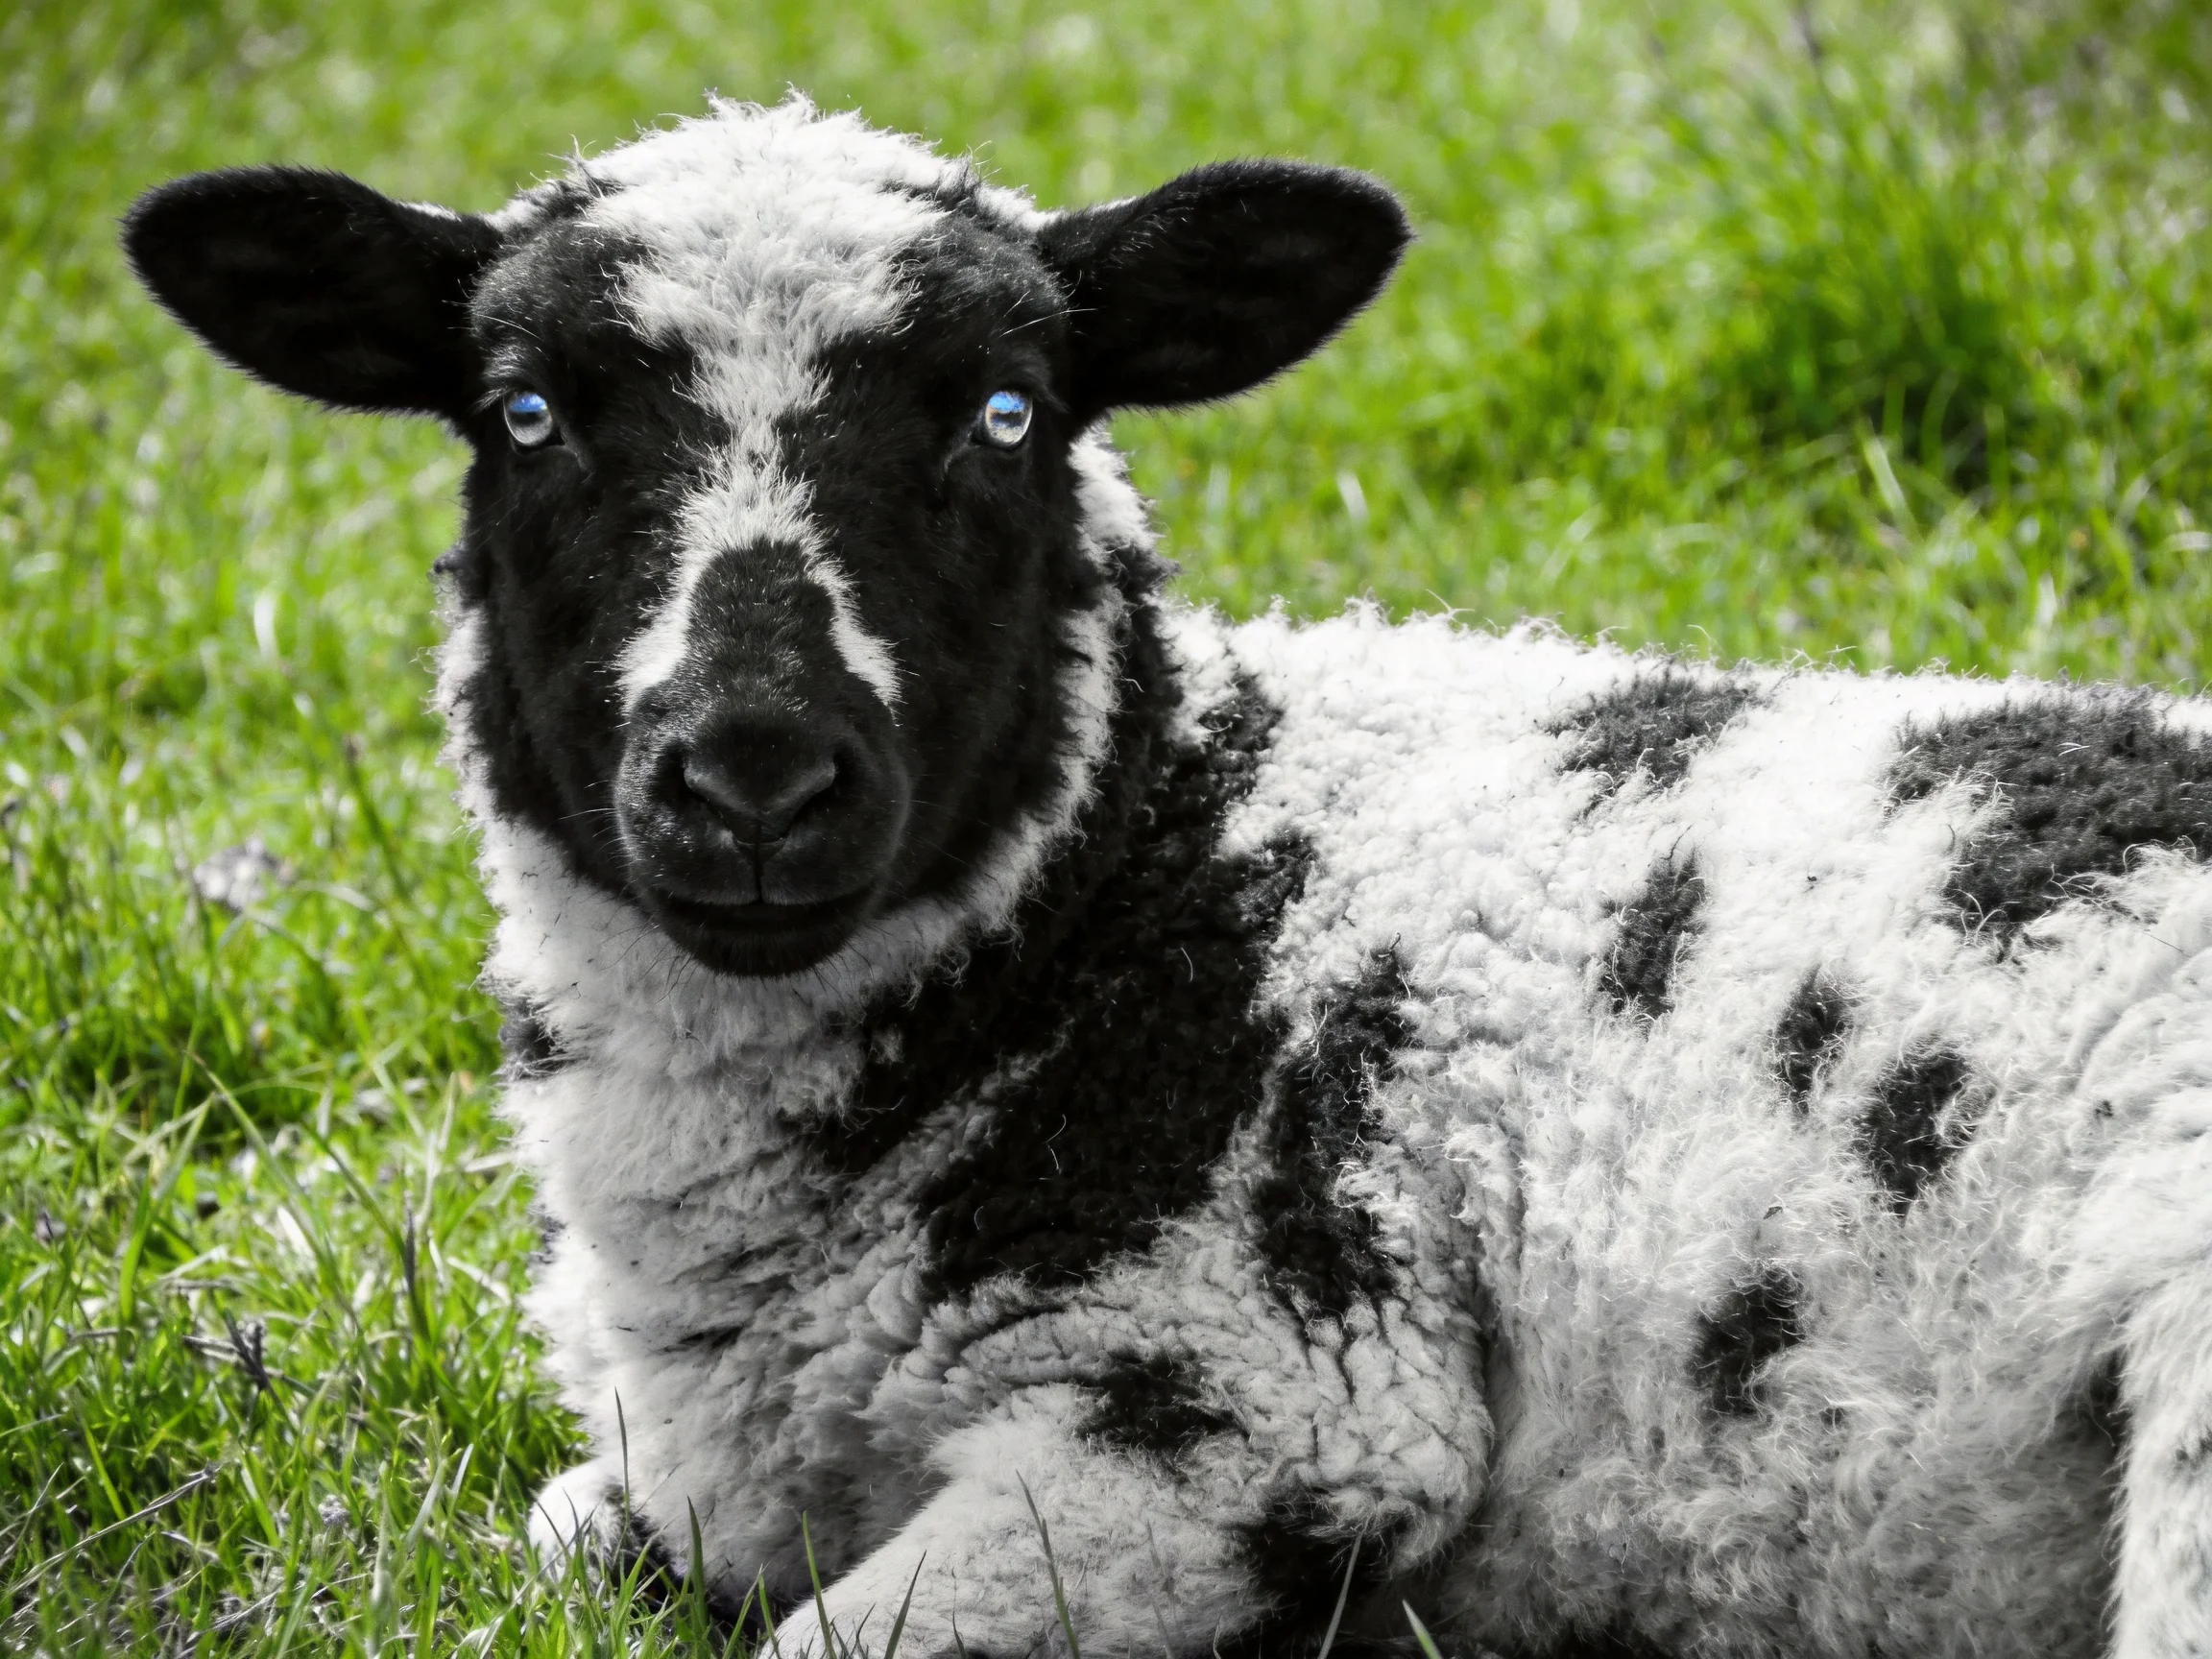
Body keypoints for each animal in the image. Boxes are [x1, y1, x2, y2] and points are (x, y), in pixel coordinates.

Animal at [124, 95, 2212, 1659]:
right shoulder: (669, 1482)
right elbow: (563, 1536)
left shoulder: (1261, 1415)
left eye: (1005, 416)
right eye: (528, 418)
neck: (1143, 882)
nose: (754, 778)